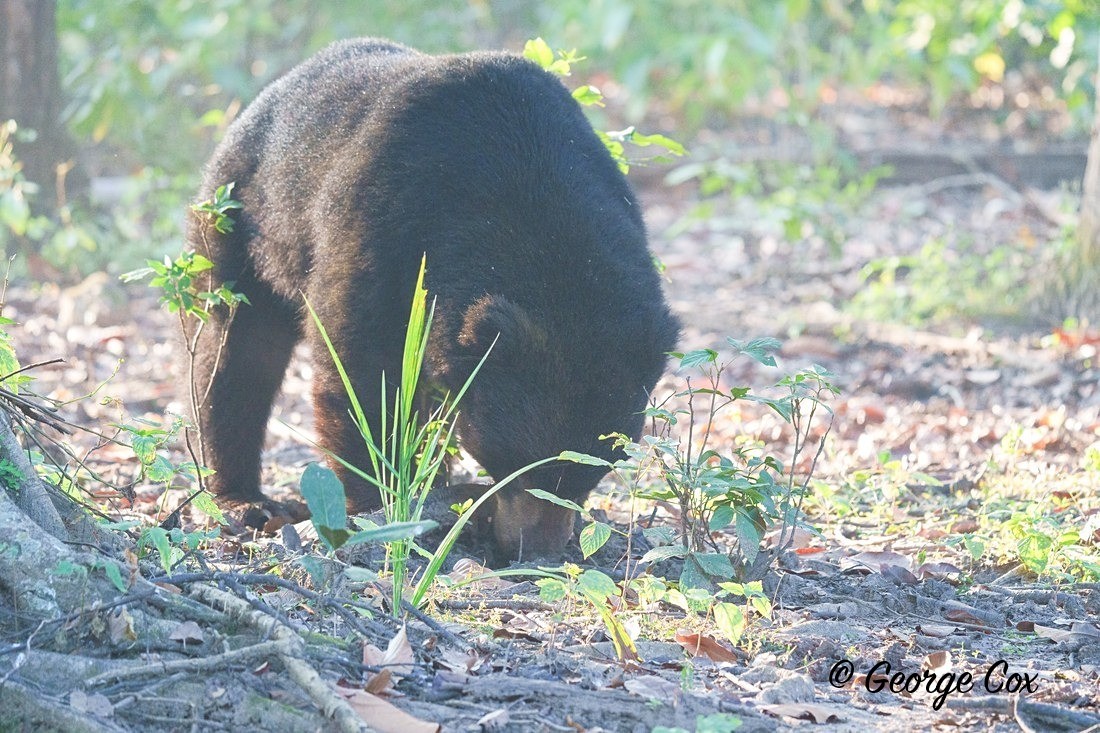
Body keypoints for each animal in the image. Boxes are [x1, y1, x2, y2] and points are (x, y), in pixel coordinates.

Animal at [186, 38, 679, 560]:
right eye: (520, 461)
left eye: (597, 467)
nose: (534, 549)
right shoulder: (383, 221)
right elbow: (360, 370)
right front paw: (383, 505)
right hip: (241, 219)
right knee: (235, 354)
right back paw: (245, 501)